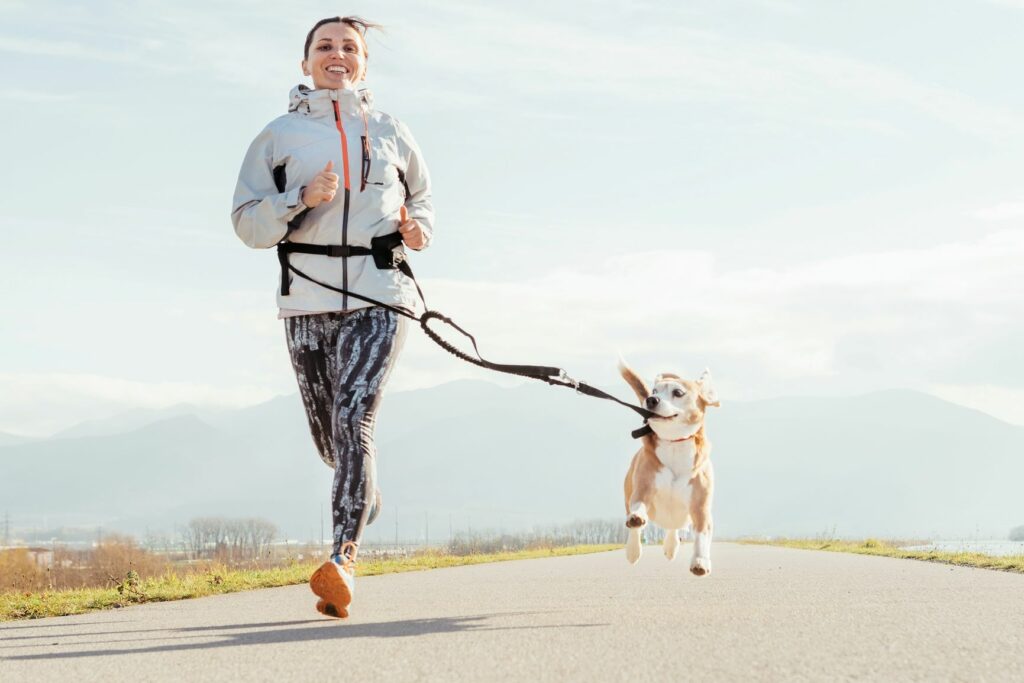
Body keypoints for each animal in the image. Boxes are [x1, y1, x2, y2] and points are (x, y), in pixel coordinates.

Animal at [614, 362, 720, 577]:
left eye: (678, 392)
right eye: (655, 391)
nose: (650, 399)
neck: (674, 444)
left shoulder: (700, 507)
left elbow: (701, 535)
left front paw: (700, 561)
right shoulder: (643, 489)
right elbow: (638, 508)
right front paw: (637, 520)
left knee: (674, 528)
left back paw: (671, 545)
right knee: (635, 527)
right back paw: (633, 550)